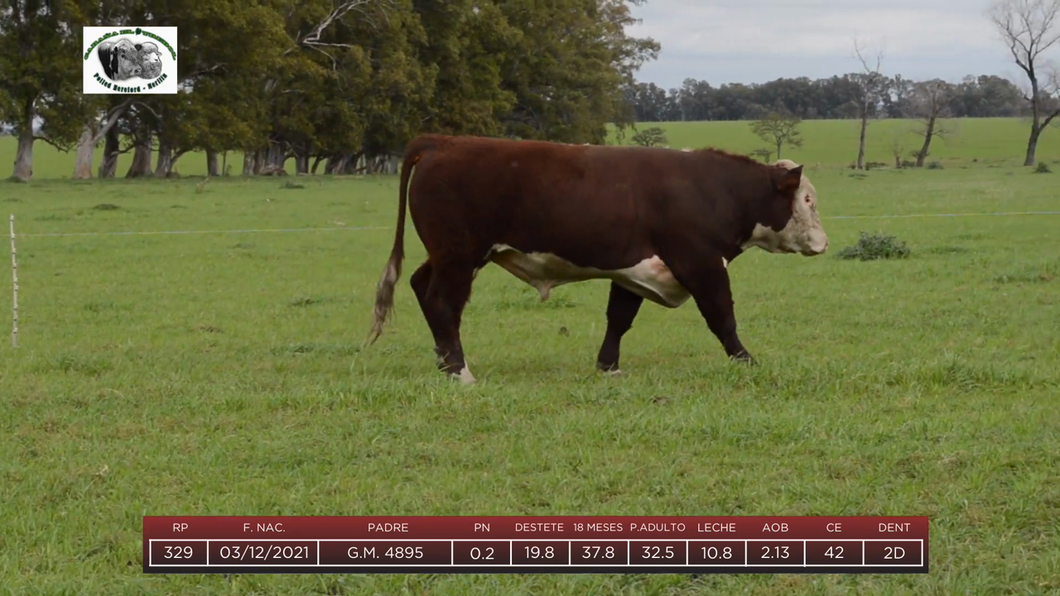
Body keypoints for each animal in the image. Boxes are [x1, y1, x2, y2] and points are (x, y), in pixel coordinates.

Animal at [368, 134, 822, 379]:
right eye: (808, 200)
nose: (823, 241)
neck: (714, 189)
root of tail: (443, 141)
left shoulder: (634, 270)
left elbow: (619, 318)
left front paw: (609, 367)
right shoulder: (701, 264)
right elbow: (722, 316)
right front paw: (747, 360)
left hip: (446, 256)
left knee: (421, 286)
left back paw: (444, 363)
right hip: (460, 256)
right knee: (442, 302)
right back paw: (460, 371)